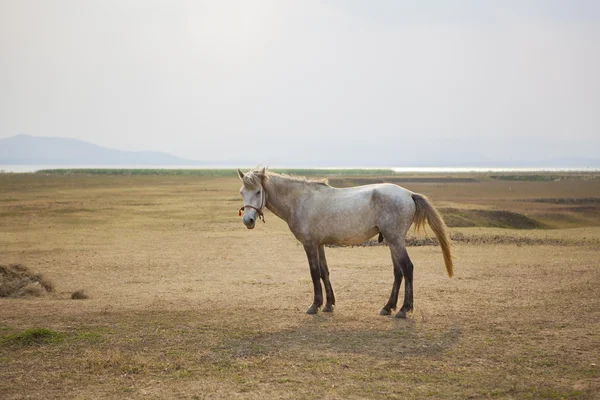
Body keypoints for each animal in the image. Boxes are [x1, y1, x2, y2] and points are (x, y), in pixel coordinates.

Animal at [237, 167, 452, 318]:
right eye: (241, 192)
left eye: (258, 192)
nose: (248, 220)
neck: (300, 200)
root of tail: (408, 194)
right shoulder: (319, 244)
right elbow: (324, 272)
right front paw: (329, 304)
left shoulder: (309, 244)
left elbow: (314, 273)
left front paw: (315, 305)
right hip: (392, 241)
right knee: (398, 272)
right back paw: (388, 307)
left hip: (396, 240)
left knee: (407, 268)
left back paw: (404, 309)